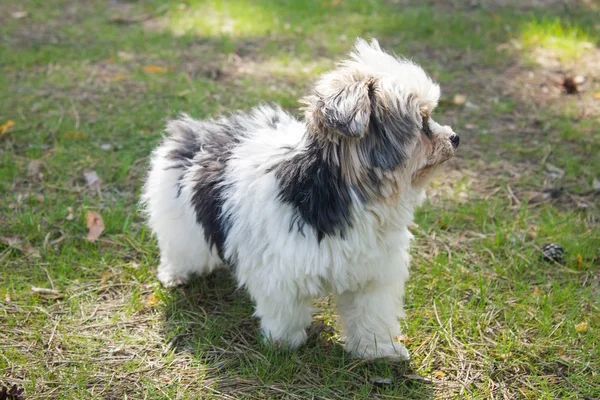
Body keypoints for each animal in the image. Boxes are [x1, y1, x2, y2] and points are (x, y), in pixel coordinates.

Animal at [141, 39, 460, 360]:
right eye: (422, 121)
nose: (454, 137)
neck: (350, 193)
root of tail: (198, 130)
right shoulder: (280, 273)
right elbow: (286, 312)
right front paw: (284, 343)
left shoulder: (374, 273)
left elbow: (371, 313)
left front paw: (378, 349)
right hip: (178, 215)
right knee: (180, 247)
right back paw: (175, 273)